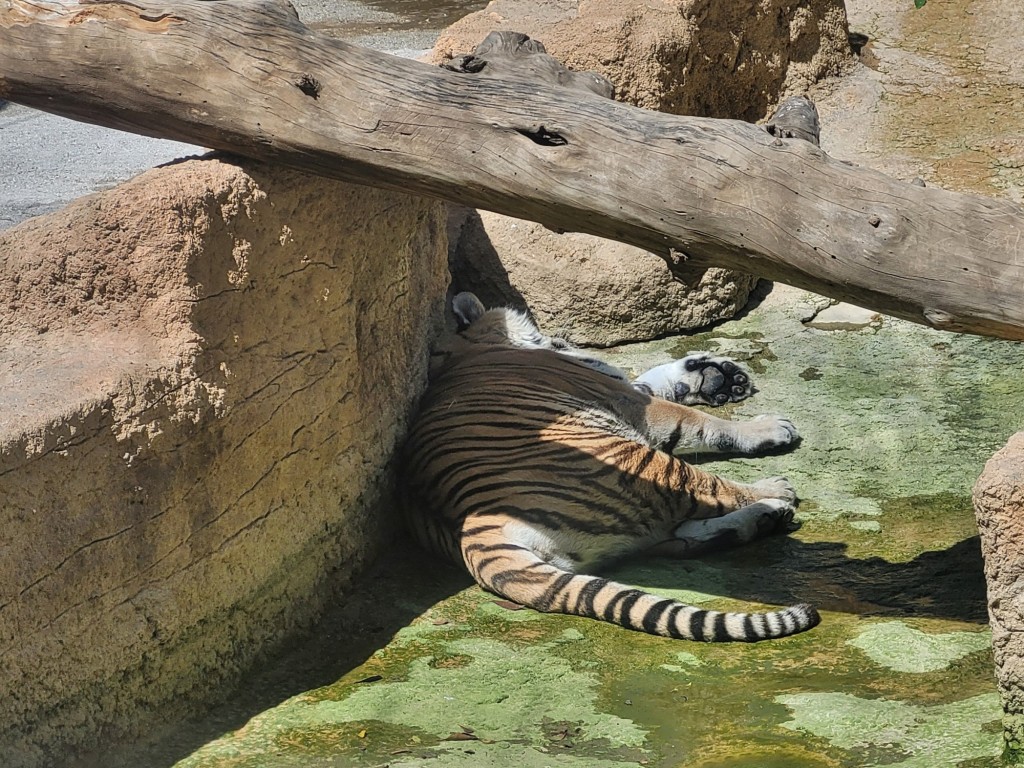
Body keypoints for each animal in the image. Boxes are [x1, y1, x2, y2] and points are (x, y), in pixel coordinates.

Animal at [403, 292, 819, 643]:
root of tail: (475, 529)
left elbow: (655, 381)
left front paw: (713, 375)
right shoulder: (630, 400)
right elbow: (697, 421)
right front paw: (767, 426)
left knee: (676, 540)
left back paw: (765, 519)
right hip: (644, 464)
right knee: (705, 494)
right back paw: (775, 495)